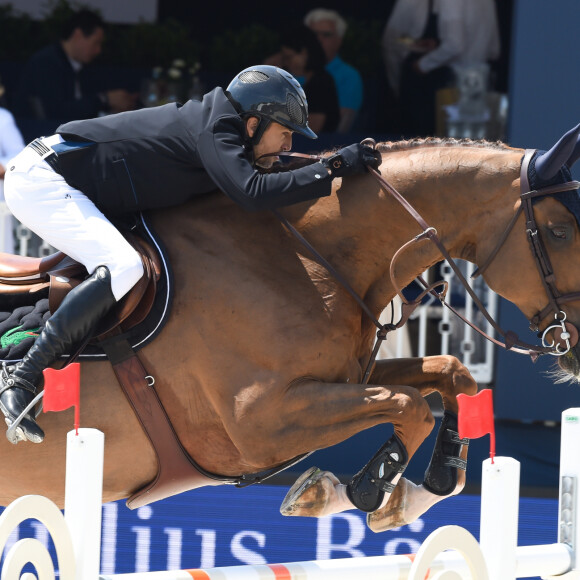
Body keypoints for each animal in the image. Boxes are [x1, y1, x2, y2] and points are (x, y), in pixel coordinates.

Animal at [1, 123, 580, 536]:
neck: (304, 256)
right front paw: (356, 492)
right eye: (559, 231)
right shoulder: (260, 420)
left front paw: (420, 491)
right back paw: (18, 400)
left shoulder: (338, 379)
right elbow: (409, 405)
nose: (574, 349)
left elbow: (450, 373)